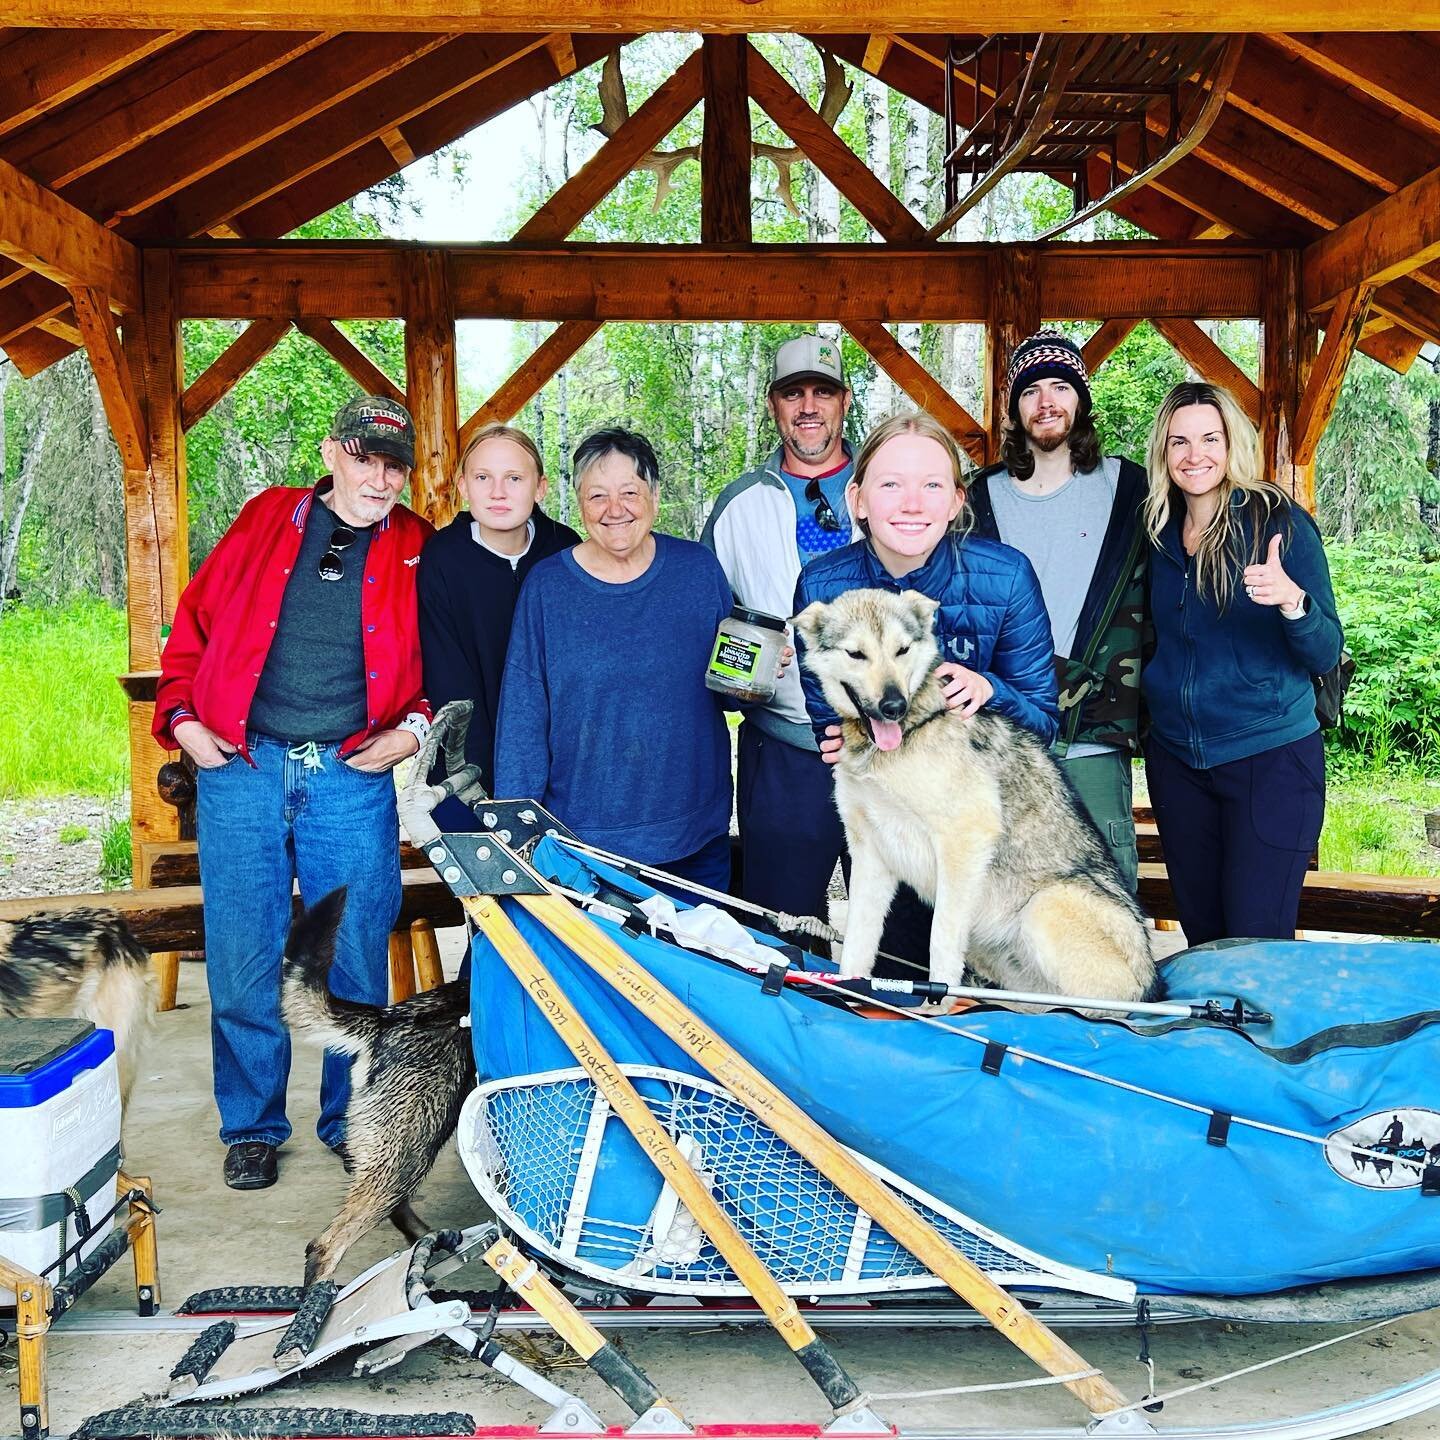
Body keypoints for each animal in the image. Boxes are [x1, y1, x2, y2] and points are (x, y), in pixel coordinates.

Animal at [794, 584, 1152, 1002]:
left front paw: (933, 1003)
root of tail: (1153, 980)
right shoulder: (870, 852)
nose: (894, 706)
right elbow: (857, 943)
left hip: (1044, 906)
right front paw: (849, 990)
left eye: (902, 650)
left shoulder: (963, 840)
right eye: (856, 653)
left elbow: (941, 943)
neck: (910, 731)